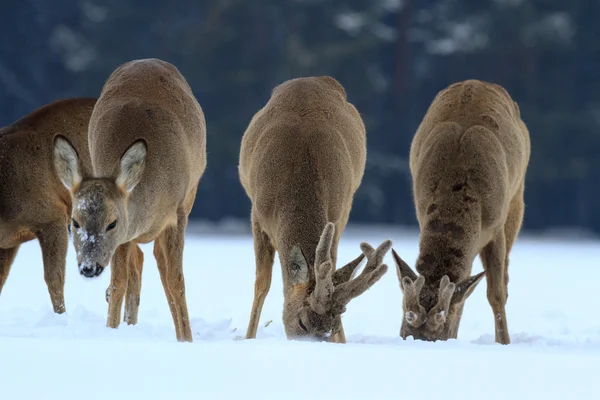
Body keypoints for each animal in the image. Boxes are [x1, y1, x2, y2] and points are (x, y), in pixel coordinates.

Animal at [55, 58, 207, 340]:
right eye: (74, 223)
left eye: (111, 223)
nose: (89, 268)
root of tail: (147, 60)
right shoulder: (124, 235)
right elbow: (118, 283)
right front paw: (111, 329)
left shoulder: (177, 213)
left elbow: (176, 279)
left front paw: (186, 339)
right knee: (139, 260)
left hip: (192, 191)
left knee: (159, 260)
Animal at [238, 76, 390, 342]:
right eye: (302, 322)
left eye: (333, 327)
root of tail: (313, 79)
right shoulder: (257, 214)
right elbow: (262, 283)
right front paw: (248, 338)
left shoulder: (339, 214)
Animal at [394, 79, 528, 346]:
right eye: (404, 325)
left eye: (440, 329)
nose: (418, 341)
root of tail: (479, 81)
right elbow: (465, 289)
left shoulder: (495, 227)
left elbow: (496, 293)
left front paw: (504, 342)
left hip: (517, 198)